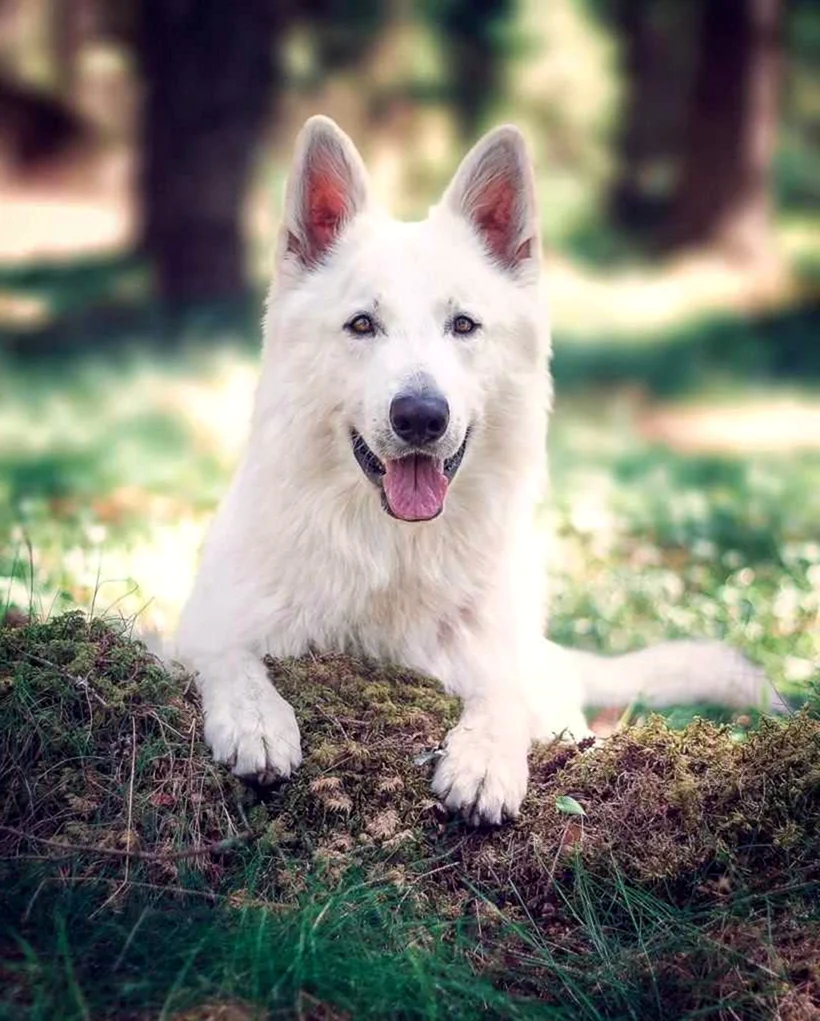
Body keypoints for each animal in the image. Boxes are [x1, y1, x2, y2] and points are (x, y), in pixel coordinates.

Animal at [174, 115, 784, 824]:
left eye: (463, 324)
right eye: (362, 324)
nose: (419, 417)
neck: (396, 549)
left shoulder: (492, 662)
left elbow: (501, 691)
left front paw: (486, 758)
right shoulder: (206, 628)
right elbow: (229, 652)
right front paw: (257, 719)